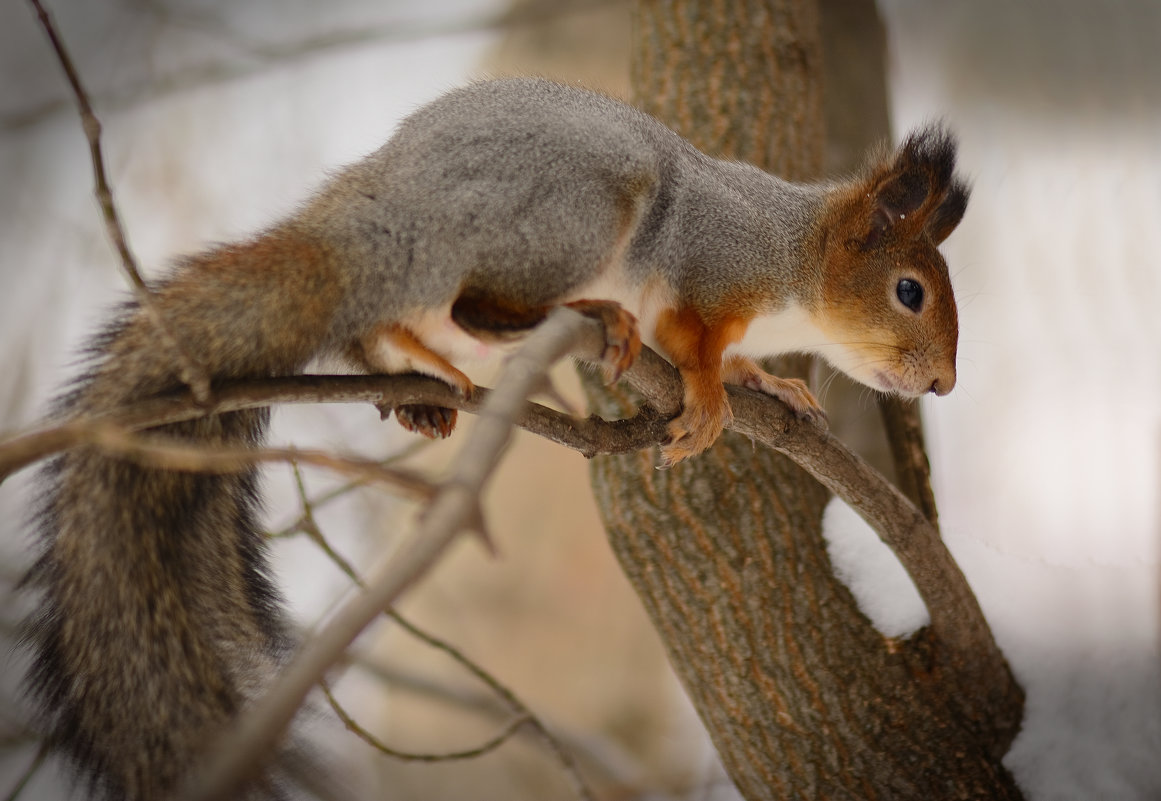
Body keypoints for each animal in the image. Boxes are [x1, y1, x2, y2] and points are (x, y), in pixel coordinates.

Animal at [22, 76, 970, 798]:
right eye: (910, 291)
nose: (943, 386)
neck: (791, 256)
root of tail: (383, 217)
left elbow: (732, 357)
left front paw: (768, 383)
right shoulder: (710, 260)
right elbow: (693, 342)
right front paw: (708, 394)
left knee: (379, 334)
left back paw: (428, 384)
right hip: (569, 211)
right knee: (474, 301)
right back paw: (588, 318)